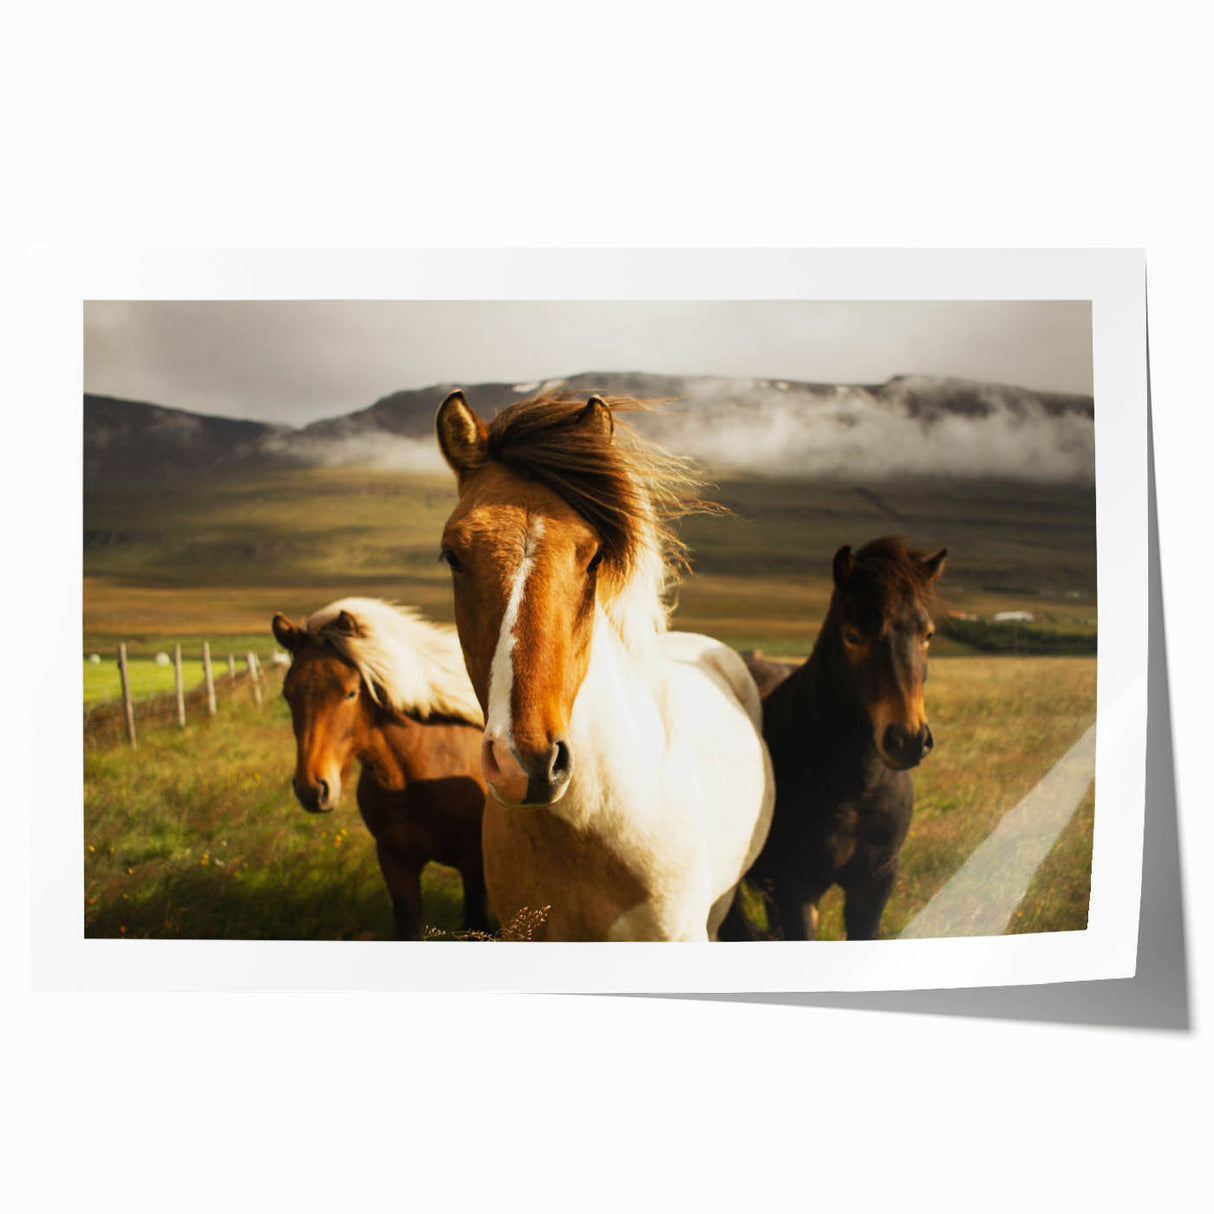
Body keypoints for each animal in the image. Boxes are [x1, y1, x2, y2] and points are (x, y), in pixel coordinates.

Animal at [725, 537, 946, 941]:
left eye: (928, 634)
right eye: (852, 635)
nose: (907, 739)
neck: (856, 789)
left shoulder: (874, 883)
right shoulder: (796, 886)